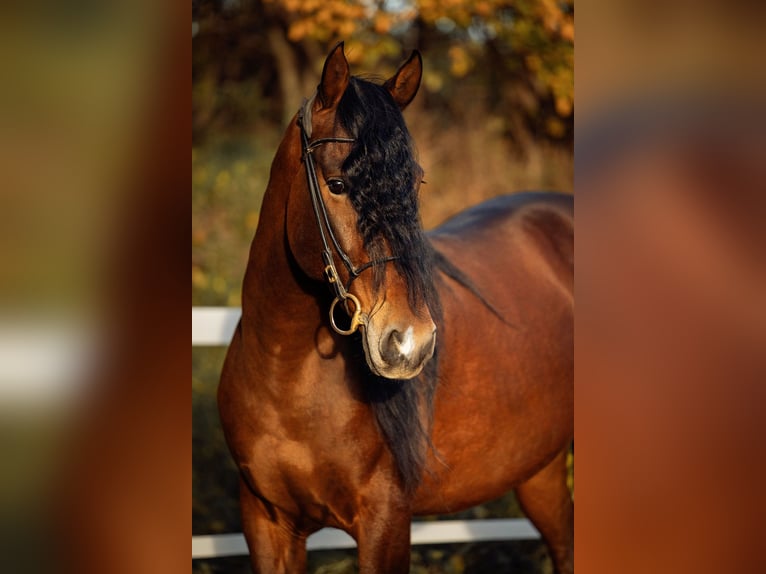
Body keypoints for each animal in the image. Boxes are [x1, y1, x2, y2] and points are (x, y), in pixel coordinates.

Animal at [218, 42, 573, 573]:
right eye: (337, 184)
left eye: (415, 183)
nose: (410, 342)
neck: (284, 373)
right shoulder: (265, 524)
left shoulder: (385, 521)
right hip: (540, 472)